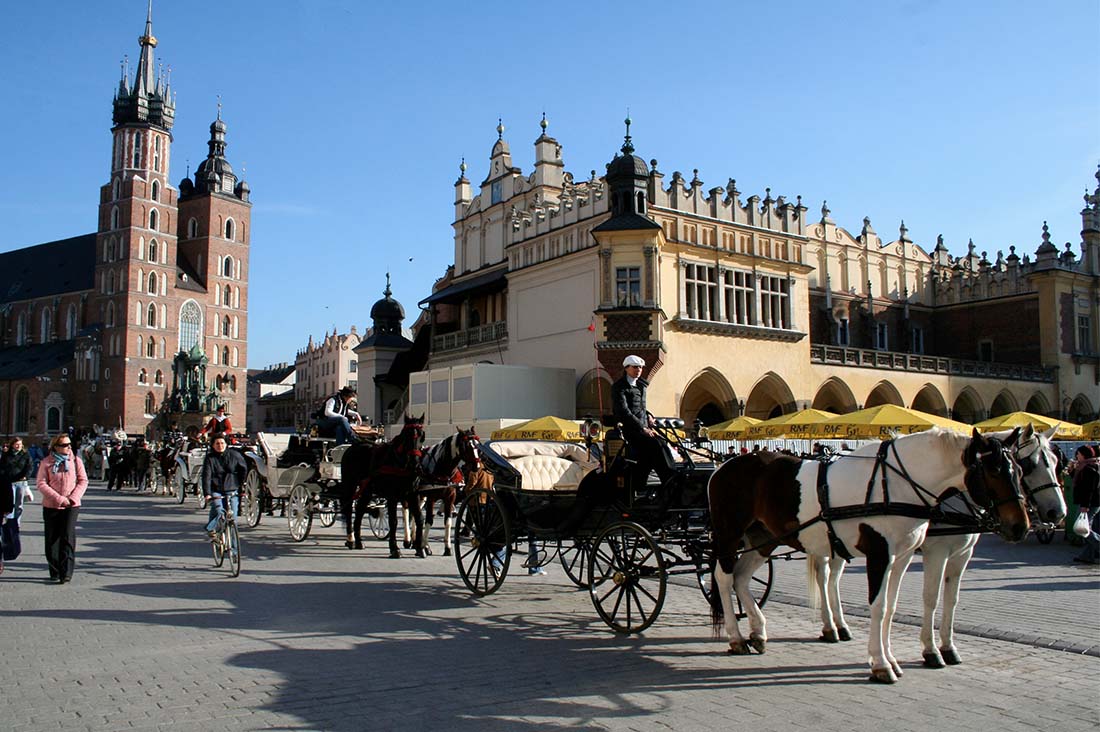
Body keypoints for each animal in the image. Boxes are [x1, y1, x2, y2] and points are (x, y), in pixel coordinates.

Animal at [341, 413, 426, 556]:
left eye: (421, 435)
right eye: (406, 435)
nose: (415, 463)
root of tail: (352, 447)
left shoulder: (412, 494)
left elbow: (419, 518)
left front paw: (420, 548)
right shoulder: (392, 496)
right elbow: (393, 521)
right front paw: (394, 548)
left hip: (366, 490)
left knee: (359, 509)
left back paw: (358, 541)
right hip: (349, 484)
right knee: (348, 509)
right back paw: (351, 539)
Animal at [704, 424, 1029, 682]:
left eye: (1020, 470)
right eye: (993, 472)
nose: (1020, 527)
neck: (896, 483)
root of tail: (723, 466)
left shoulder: (902, 557)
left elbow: (891, 607)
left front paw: (892, 658)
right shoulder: (881, 553)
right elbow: (880, 606)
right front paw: (882, 663)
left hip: (764, 537)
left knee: (741, 577)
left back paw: (757, 631)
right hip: (729, 533)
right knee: (723, 576)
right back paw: (736, 636)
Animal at [809, 422, 1064, 669]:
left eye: (1055, 463)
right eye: (1030, 465)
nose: (1058, 513)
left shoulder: (962, 554)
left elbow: (951, 599)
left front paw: (948, 647)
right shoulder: (935, 552)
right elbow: (931, 598)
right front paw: (930, 650)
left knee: (832, 579)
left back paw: (838, 625)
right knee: (824, 577)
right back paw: (831, 626)